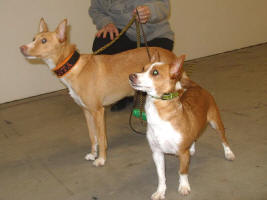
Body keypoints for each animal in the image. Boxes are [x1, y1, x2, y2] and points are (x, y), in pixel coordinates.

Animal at [19, 18, 178, 166]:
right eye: (34, 38)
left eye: (44, 41)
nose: (22, 48)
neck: (75, 67)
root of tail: (172, 55)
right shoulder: (87, 111)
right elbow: (92, 136)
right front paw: (92, 154)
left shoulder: (98, 111)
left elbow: (101, 139)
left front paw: (101, 159)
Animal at [129, 53, 236, 200]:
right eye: (143, 68)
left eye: (155, 72)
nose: (131, 76)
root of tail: (196, 86)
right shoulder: (157, 153)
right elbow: (161, 176)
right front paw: (160, 191)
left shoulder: (183, 154)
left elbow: (182, 172)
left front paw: (184, 186)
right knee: (195, 136)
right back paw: (192, 147)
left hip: (216, 123)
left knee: (223, 139)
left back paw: (228, 153)